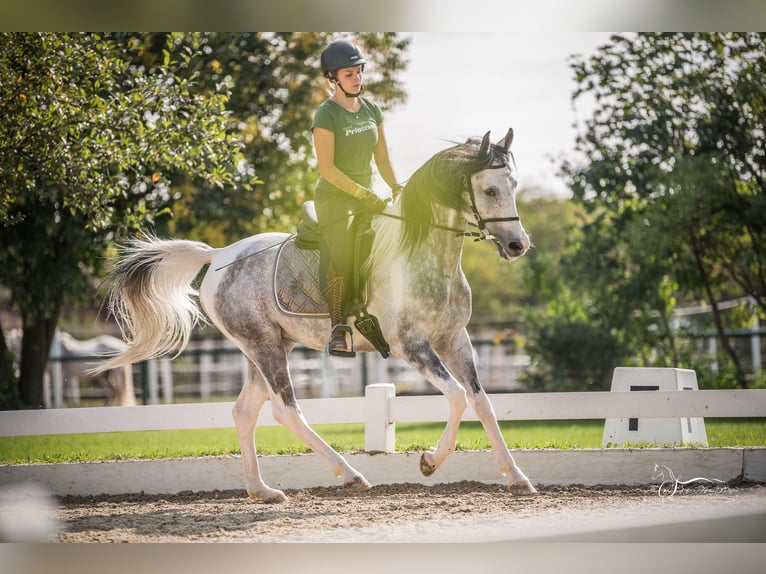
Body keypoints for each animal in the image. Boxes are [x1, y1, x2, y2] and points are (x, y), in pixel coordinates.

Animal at [98, 128, 537, 502]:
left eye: (514, 186)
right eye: (490, 189)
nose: (518, 245)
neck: (423, 256)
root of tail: (218, 255)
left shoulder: (454, 340)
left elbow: (481, 403)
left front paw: (516, 477)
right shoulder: (411, 345)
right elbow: (458, 397)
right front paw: (430, 461)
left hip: (269, 346)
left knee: (244, 412)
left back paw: (262, 491)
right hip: (263, 345)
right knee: (285, 409)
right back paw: (349, 475)